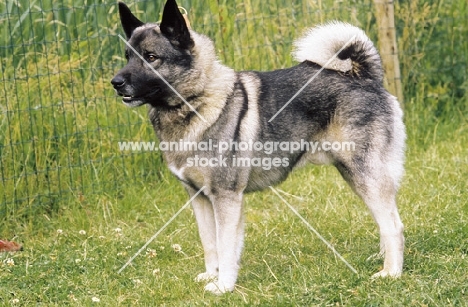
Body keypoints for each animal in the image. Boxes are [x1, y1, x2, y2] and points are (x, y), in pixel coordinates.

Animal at [112, 0, 406, 294]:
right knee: (385, 219)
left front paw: (223, 286)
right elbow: (210, 244)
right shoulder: (199, 198)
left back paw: (391, 272)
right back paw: (382, 258)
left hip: (365, 173)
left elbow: (226, 246)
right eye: (127, 56)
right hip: (354, 175)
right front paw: (211, 276)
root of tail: (363, 75)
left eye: (151, 57)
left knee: (393, 224)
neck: (196, 100)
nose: (116, 83)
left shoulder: (226, 197)